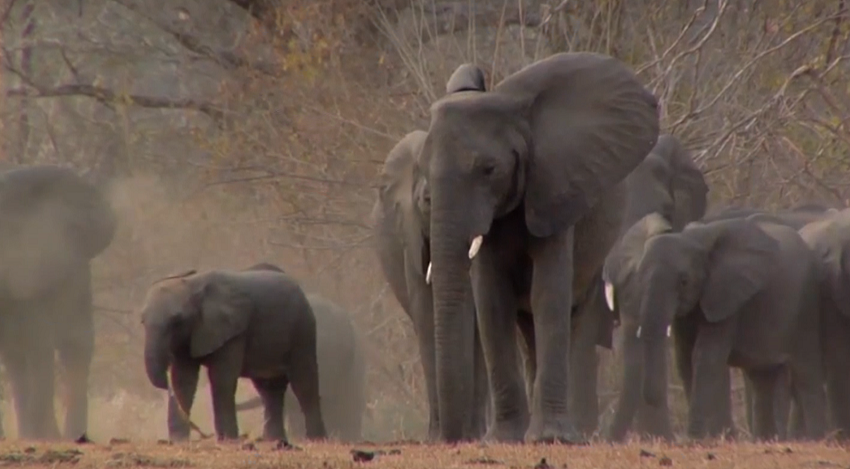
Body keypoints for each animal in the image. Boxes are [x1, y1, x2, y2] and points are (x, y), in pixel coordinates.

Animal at [139, 268, 327, 442]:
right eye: (142, 321)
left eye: (177, 321)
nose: (204, 434)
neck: (193, 283)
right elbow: (182, 380)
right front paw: (179, 441)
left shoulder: (233, 331)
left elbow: (221, 379)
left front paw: (228, 441)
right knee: (270, 390)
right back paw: (275, 441)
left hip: (303, 329)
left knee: (303, 383)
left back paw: (316, 440)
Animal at [421, 51, 659, 443]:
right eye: (423, 175)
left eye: (489, 170)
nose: (453, 440)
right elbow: (491, 300)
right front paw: (505, 439)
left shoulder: (555, 188)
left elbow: (548, 294)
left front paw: (549, 439)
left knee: (577, 323)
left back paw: (572, 431)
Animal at [604, 213, 827, 440]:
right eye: (639, 278)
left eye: (684, 281)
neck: (693, 238)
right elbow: (684, 358)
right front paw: (704, 438)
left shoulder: (726, 295)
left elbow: (705, 356)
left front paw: (694, 440)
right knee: (762, 378)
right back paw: (767, 440)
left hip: (806, 309)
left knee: (806, 375)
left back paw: (815, 439)